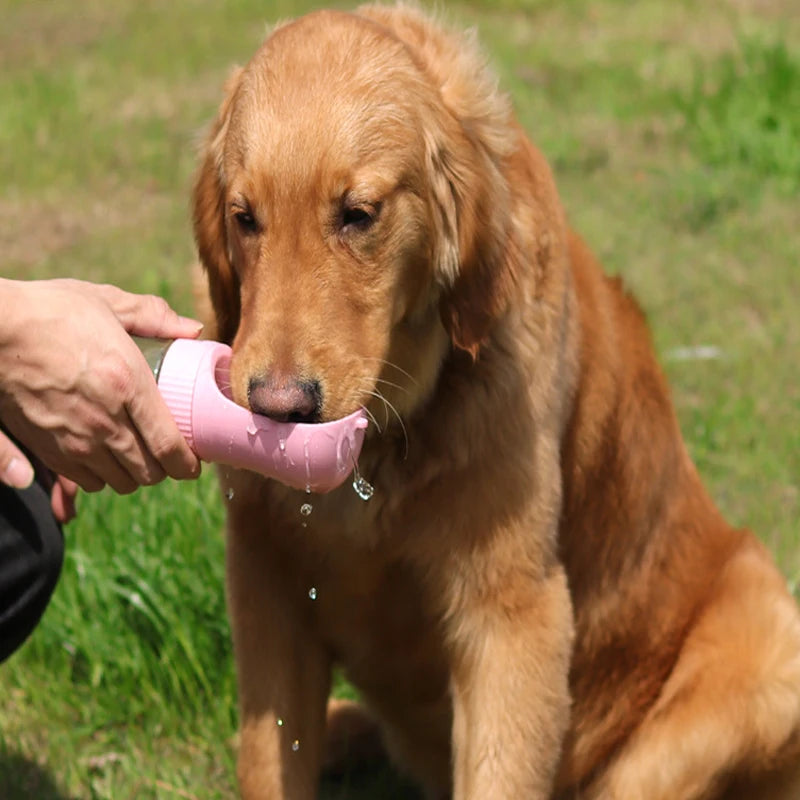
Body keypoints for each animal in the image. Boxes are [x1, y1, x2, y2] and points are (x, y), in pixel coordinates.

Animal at [192, 6, 800, 800]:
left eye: (358, 214)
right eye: (244, 216)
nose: (277, 408)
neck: (386, 441)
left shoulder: (514, 615)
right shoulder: (266, 584)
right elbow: (270, 757)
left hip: (759, 637)